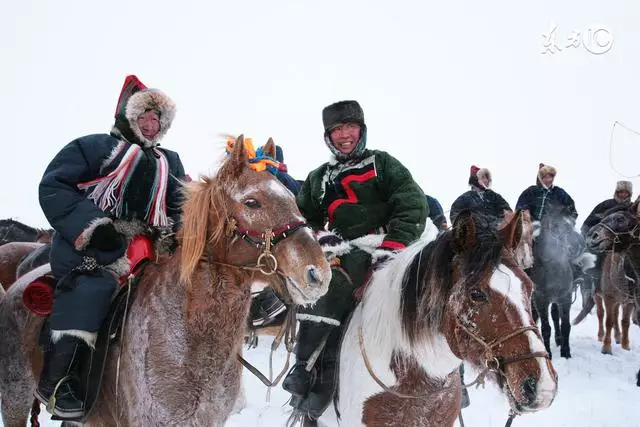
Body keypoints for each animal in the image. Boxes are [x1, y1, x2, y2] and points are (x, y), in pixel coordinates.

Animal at [528, 206, 584, 360]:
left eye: (573, 223)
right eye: (555, 226)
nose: (579, 245)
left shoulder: (565, 297)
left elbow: (565, 325)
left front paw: (566, 352)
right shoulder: (540, 299)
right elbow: (546, 328)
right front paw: (548, 352)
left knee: (554, 315)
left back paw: (559, 340)